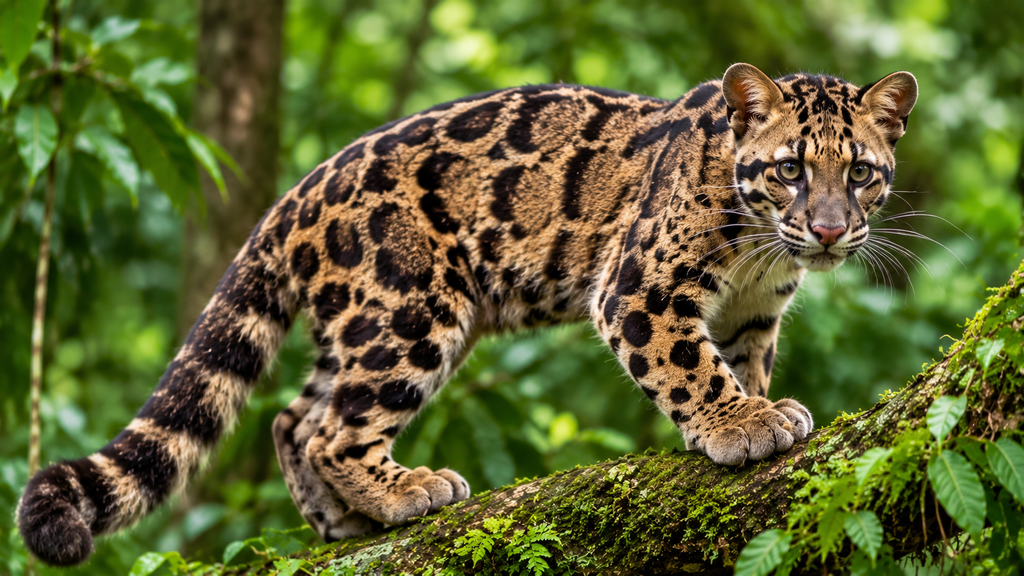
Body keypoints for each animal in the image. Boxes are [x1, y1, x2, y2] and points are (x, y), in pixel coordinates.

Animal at [18, 63, 918, 566]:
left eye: (862, 173)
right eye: (791, 169)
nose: (830, 230)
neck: (764, 250)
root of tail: (298, 191)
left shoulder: (749, 316)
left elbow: (736, 365)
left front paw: (755, 408)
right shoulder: (638, 289)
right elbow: (692, 368)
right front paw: (743, 425)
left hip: (361, 323)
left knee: (293, 417)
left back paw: (339, 516)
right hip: (410, 308)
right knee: (331, 427)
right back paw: (405, 492)